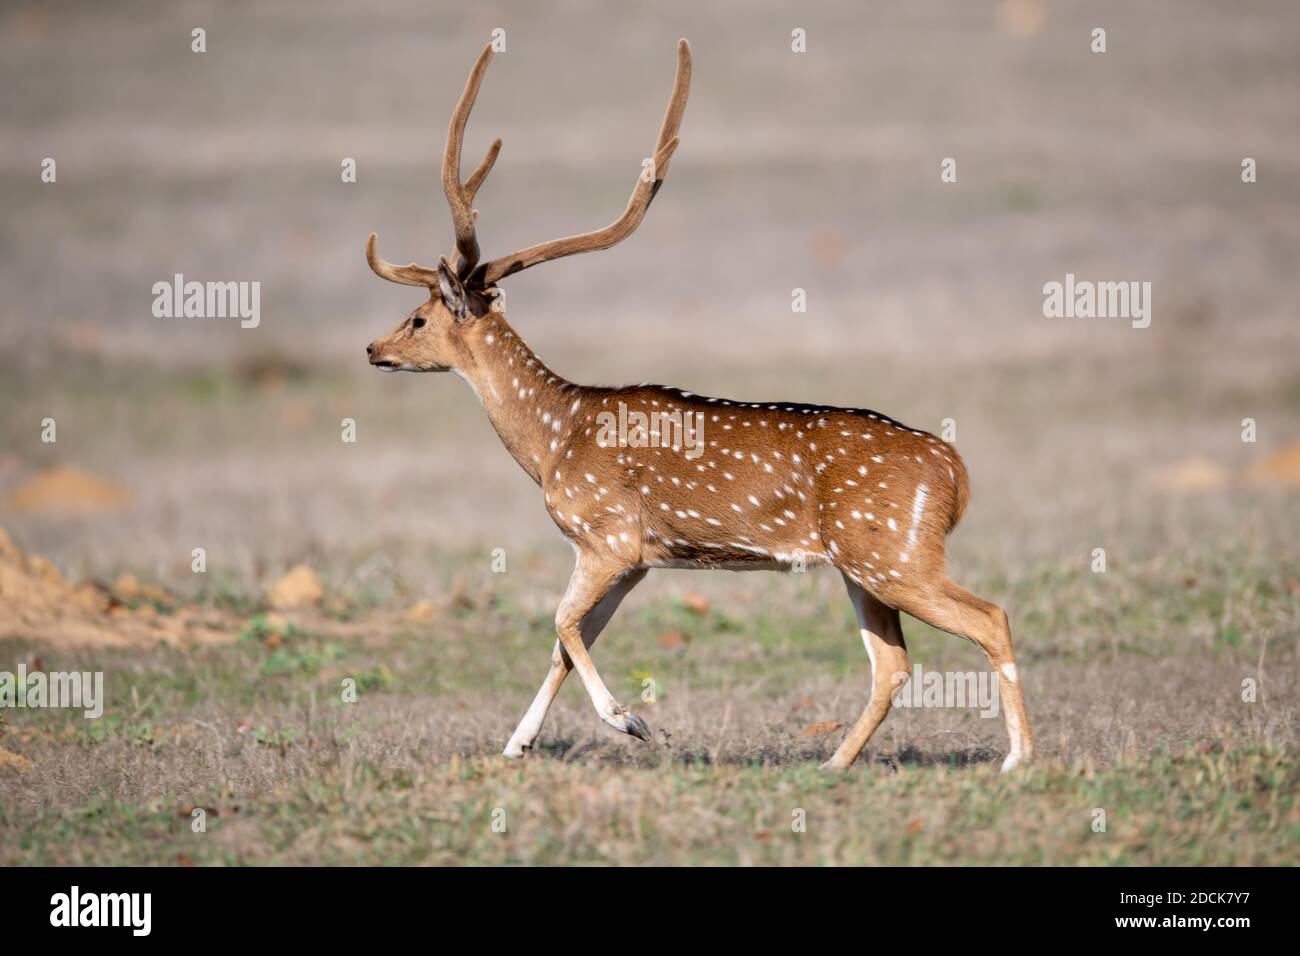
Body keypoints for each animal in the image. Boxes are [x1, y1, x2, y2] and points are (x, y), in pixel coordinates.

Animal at [361, 42, 1029, 770]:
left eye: (419, 318)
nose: (373, 348)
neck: (552, 442)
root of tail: (955, 470)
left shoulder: (606, 535)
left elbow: (561, 623)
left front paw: (629, 721)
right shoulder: (639, 559)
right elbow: (568, 641)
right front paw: (517, 744)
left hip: (897, 555)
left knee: (989, 617)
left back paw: (1017, 759)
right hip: (866, 564)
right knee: (893, 664)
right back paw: (832, 764)